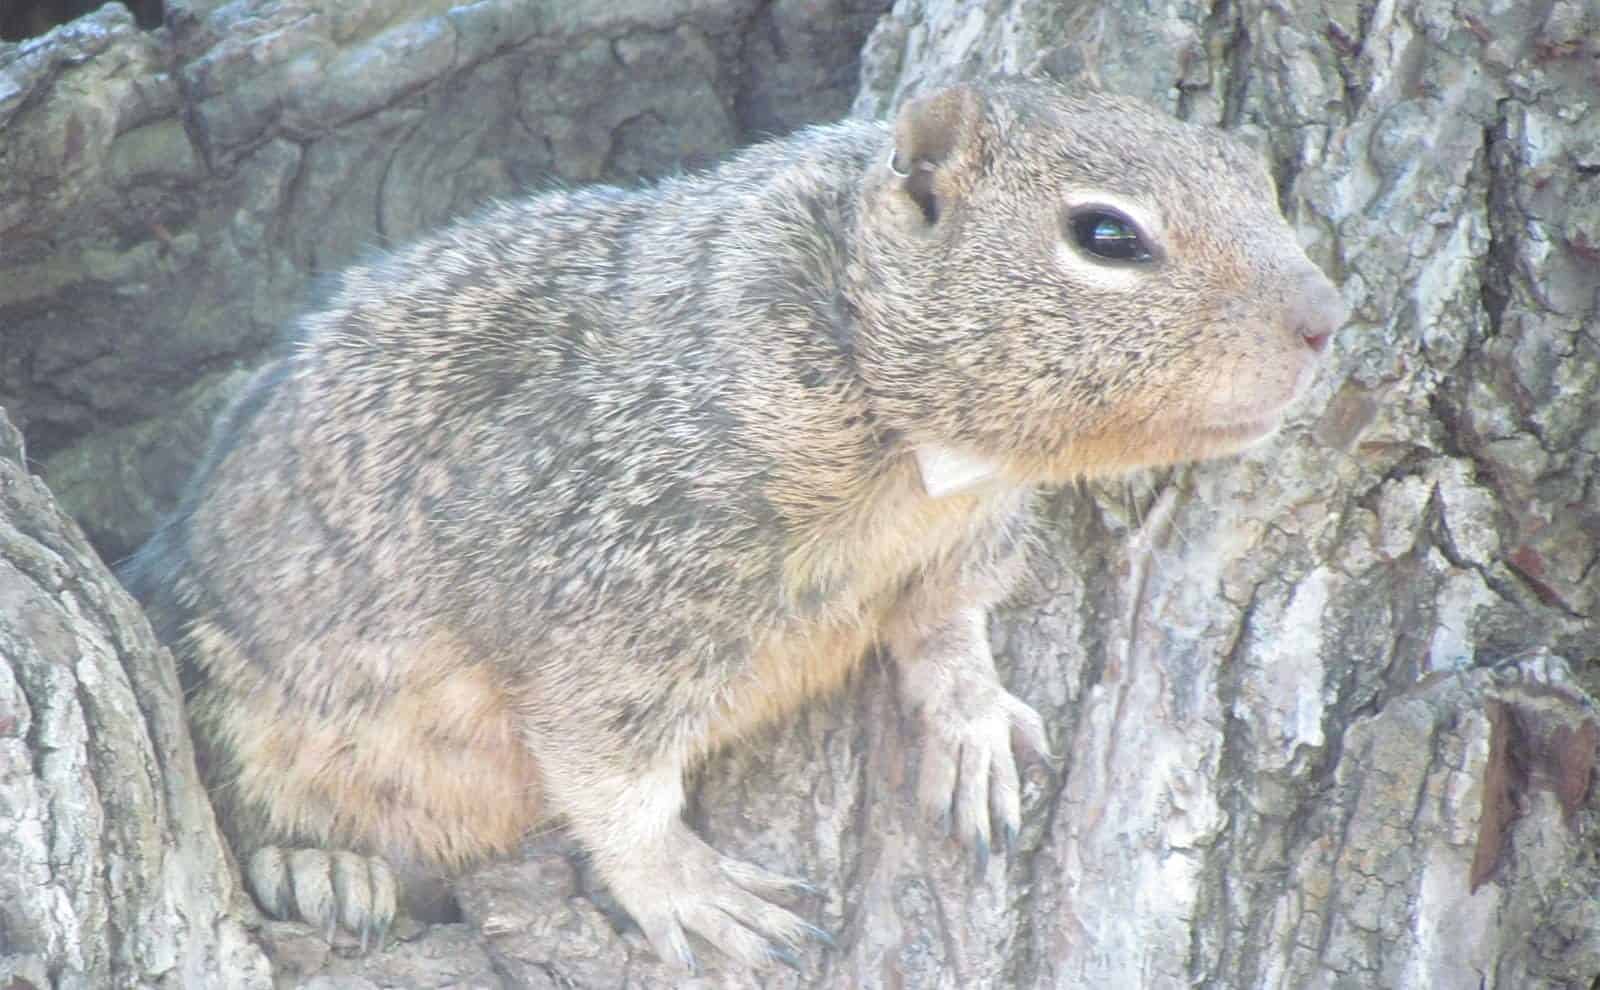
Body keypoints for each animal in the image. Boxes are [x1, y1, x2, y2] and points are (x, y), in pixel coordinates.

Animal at [124, 79, 1344, 978]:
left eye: (1258, 180)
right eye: (1105, 234)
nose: (1328, 318)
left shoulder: (957, 546)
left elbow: (946, 629)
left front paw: (972, 721)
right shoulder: (604, 577)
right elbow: (606, 769)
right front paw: (689, 889)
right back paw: (318, 868)